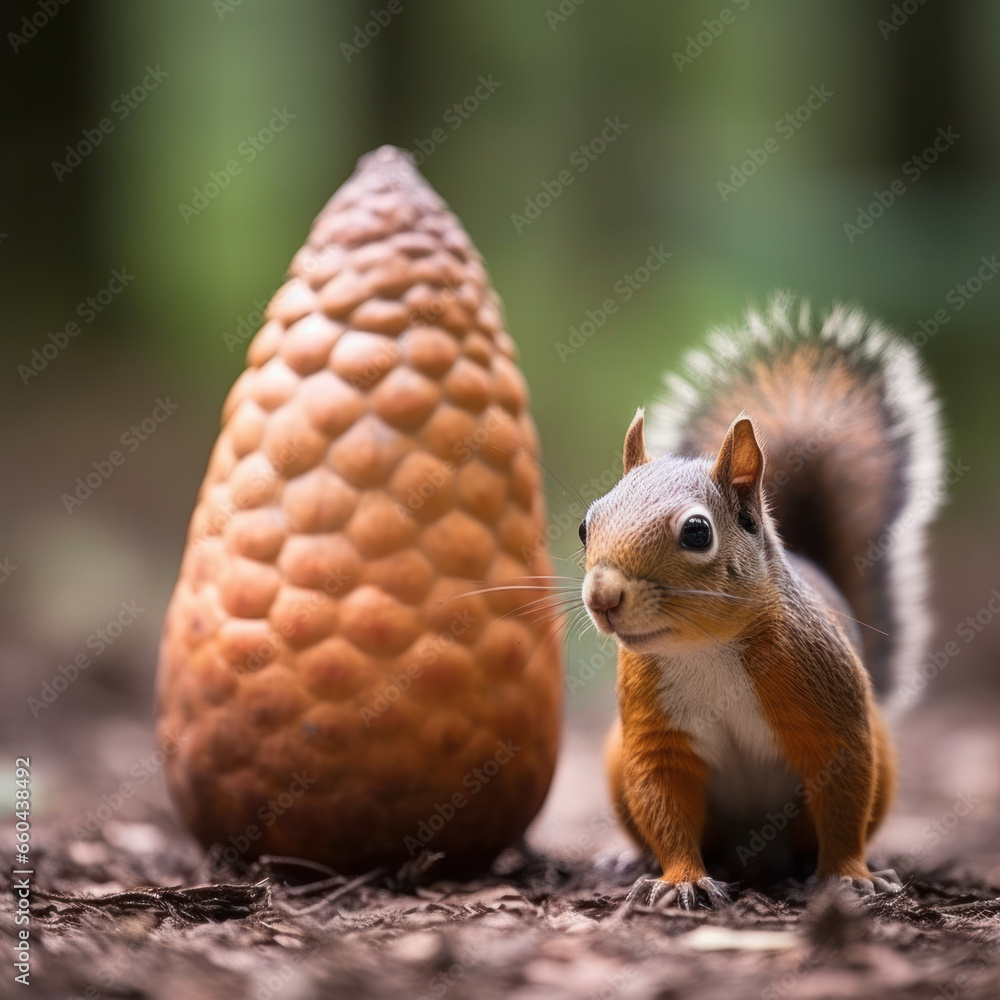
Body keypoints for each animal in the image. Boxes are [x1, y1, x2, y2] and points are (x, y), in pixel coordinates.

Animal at [580, 294, 944, 909]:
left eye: (697, 532)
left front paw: (849, 874)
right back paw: (630, 857)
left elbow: (844, 797)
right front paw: (681, 879)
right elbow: (664, 800)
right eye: (586, 525)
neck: (706, 649)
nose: (602, 596)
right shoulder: (655, 732)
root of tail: (756, 854)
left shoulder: (830, 706)